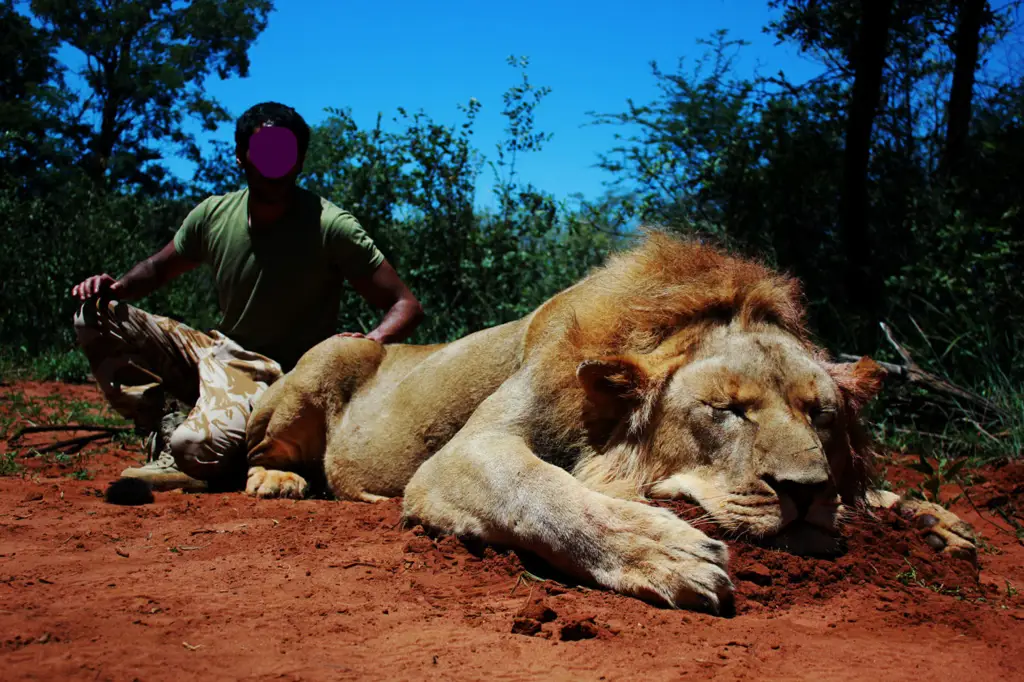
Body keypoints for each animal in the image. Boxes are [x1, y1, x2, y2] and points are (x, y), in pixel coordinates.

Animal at [245, 229, 974, 610]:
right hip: (328, 357)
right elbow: (542, 491)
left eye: (820, 415)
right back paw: (278, 482)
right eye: (727, 411)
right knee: (263, 451)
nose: (807, 493)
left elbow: (876, 494)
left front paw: (935, 522)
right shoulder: (459, 456)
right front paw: (668, 550)